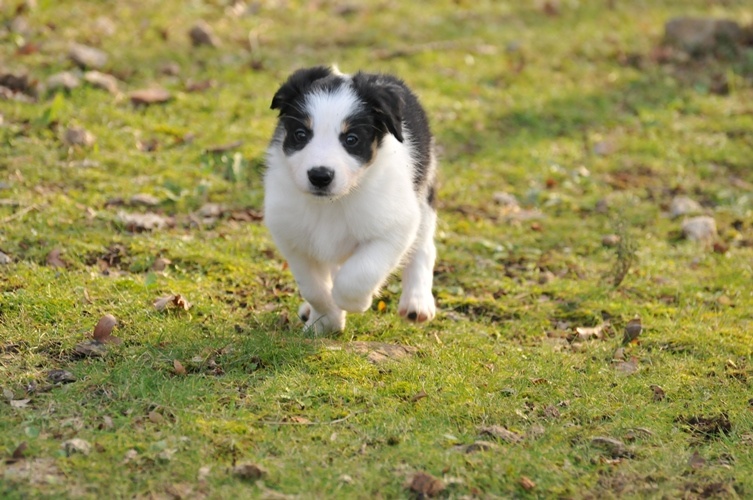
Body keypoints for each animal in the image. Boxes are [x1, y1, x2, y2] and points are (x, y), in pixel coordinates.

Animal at [264, 65, 438, 332]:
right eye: (301, 134)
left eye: (351, 139)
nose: (320, 176)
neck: (332, 203)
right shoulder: (293, 238)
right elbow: (314, 289)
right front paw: (327, 321)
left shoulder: (395, 226)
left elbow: (359, 274)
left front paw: (353, 303)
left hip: (424, 190)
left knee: (423, 246)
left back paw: (416, 303)